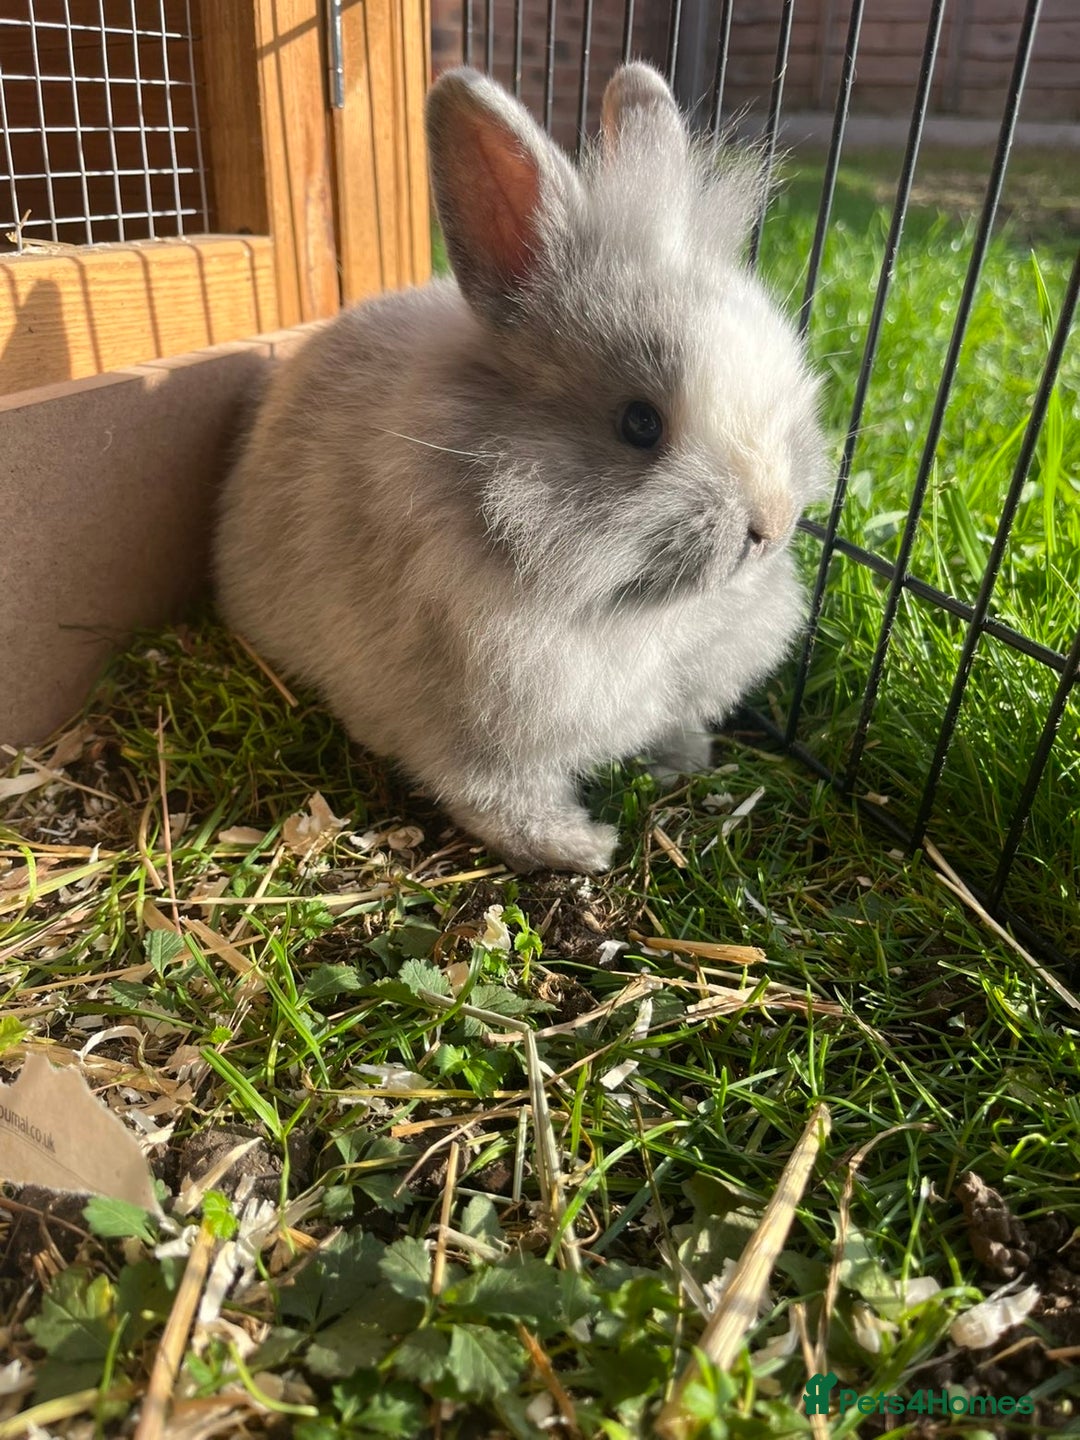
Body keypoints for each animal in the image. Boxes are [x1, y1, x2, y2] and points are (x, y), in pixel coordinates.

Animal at [213, 62, 829, 875]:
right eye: (640, 424)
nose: (773, 524)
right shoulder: (469, 722)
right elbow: (492, 798)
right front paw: (582, 848)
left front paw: (686, 759)